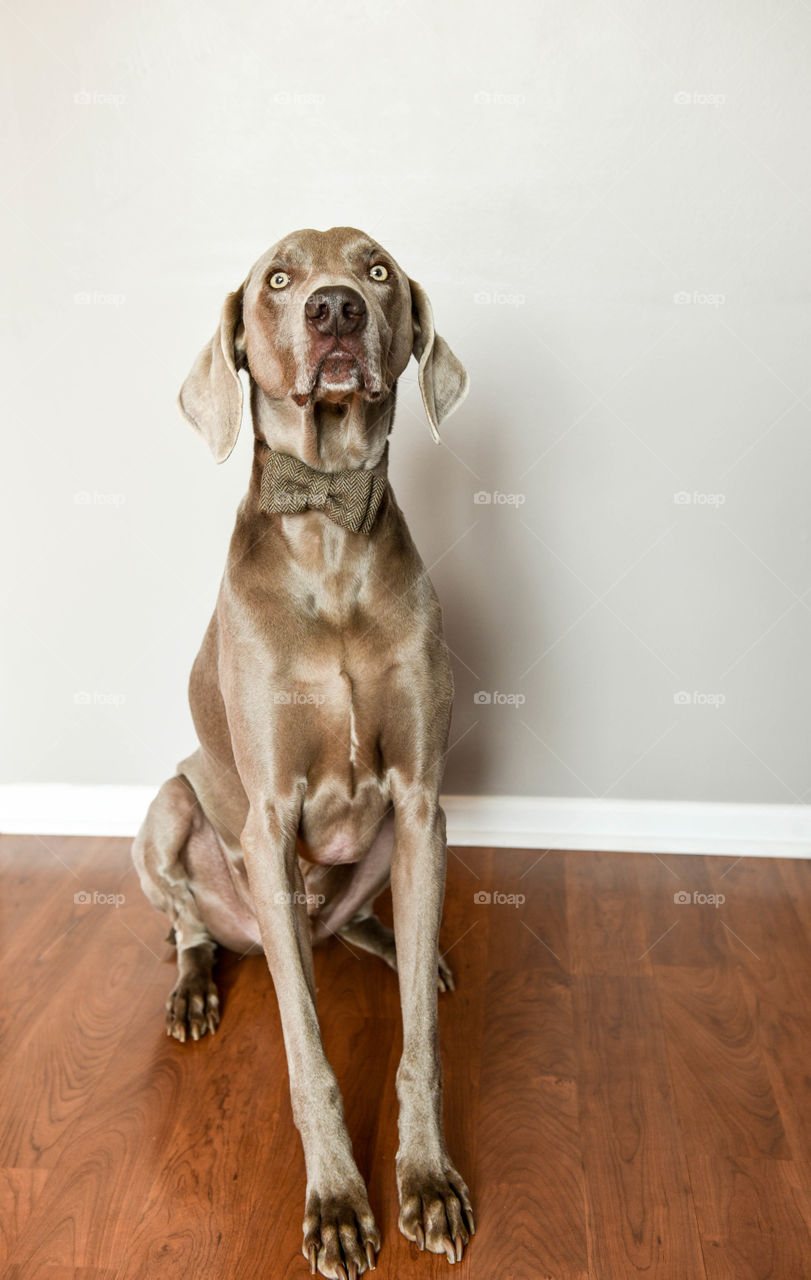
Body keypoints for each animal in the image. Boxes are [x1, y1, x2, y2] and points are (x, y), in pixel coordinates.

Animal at [131, 225, 473, 1274]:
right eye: (277, 278)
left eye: (376, 268)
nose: (335, 310)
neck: (327, 526)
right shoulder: (270, 820)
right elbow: (307, 1054)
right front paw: (336, 1203)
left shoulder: (421, 801)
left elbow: (420, 1049)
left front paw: (425, 1180)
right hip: (170, 813)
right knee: (201, 928)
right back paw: (192, 989)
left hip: (401, 848)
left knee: (361, 929)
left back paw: (411, 955)